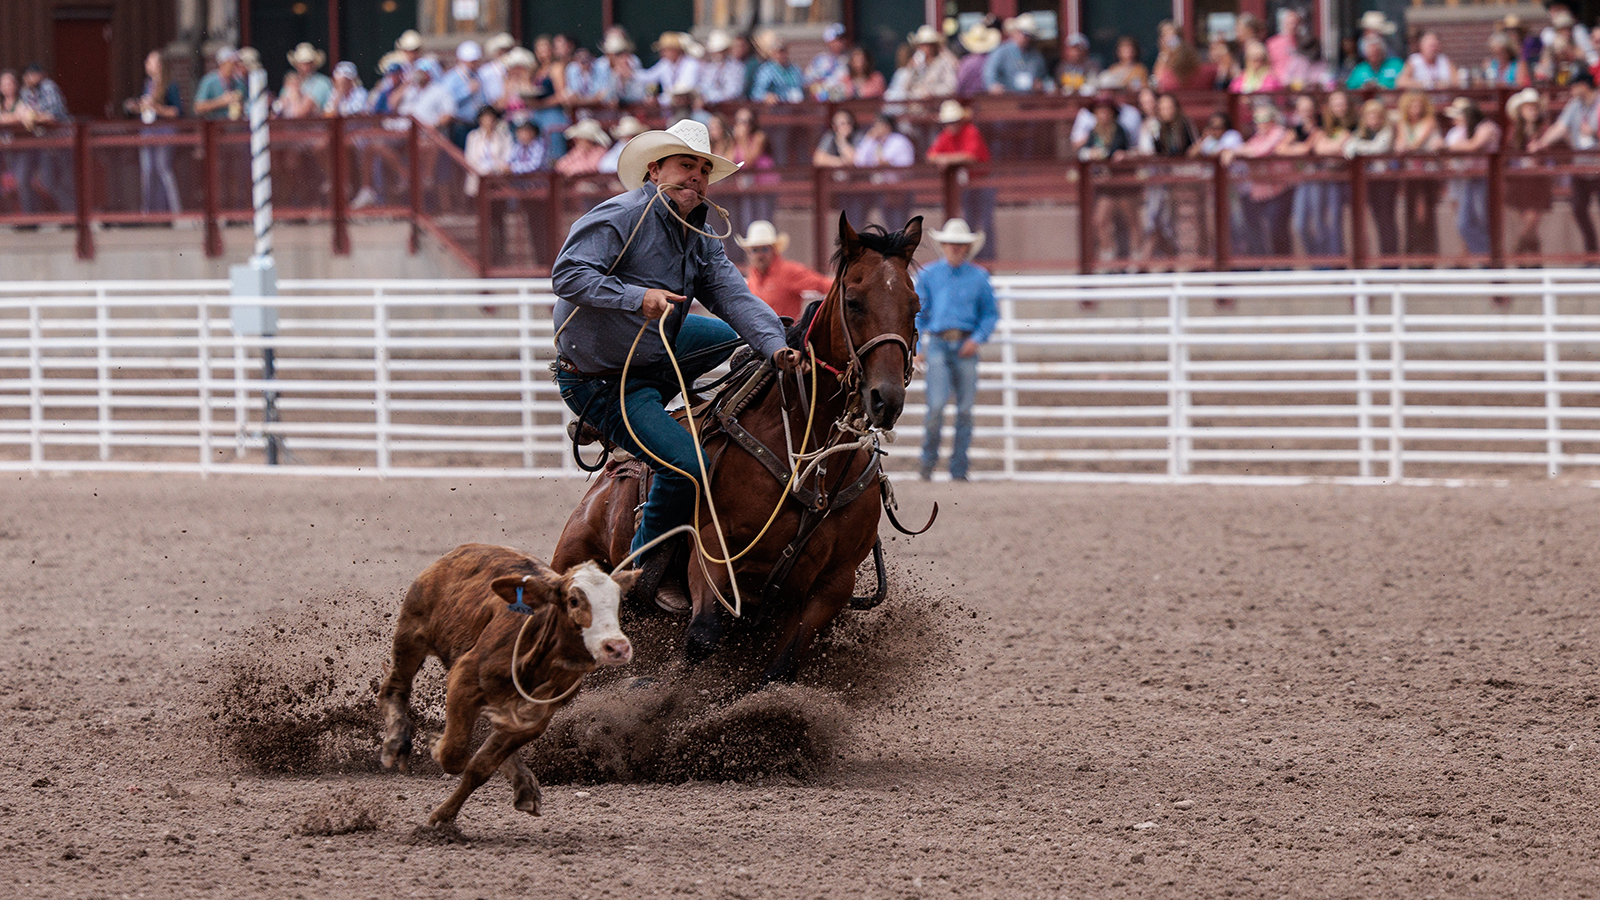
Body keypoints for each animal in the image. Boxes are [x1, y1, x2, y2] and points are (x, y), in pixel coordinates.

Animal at [550, 212, 934, 679]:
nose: (886, 399)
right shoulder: (712, 552)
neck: (810, 467)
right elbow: (700, 638)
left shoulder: (832, 586)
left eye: (915, 305)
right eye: (855, 301)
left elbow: (780, 669)